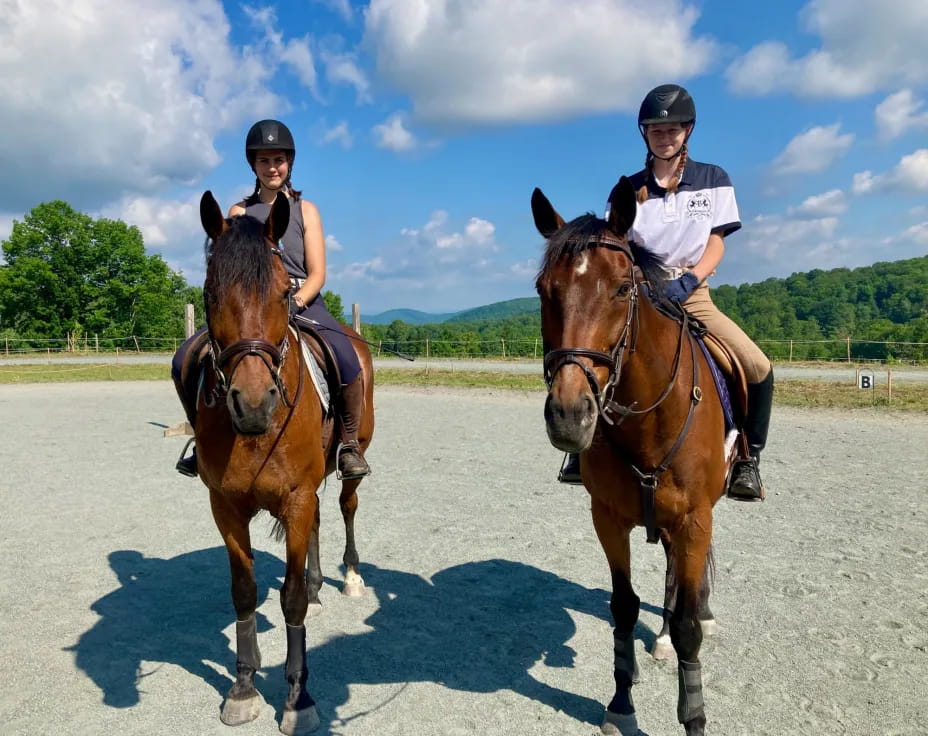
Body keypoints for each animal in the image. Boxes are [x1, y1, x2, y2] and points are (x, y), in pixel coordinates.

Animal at [179, 193, 374, 732]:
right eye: (209, 293)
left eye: (284, 293)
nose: (253, 404)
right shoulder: (225, 507)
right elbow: (244, 592)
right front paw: (244, 687)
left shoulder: (297, 495)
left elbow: (289, 601)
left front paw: (297, 698)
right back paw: (317, 582)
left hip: (351, 463)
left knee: (346, 507)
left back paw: (349, 576)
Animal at [532, 178, 728, 736]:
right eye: (544, 289)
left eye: (623, 288)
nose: (569, 415)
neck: (649, 420)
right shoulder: (609, 518)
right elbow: (623, 608)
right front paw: (621, 702)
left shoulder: (694, 519)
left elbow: (688, 626)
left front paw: (694, 716)